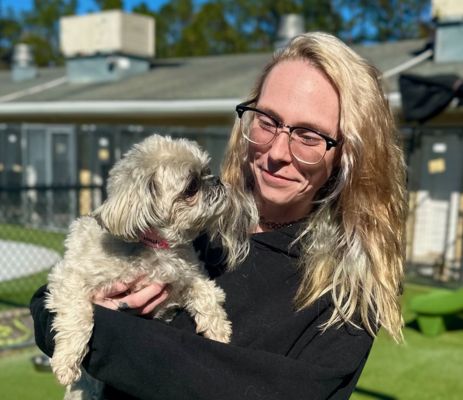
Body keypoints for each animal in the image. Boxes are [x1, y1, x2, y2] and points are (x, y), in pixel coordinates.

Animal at [47, 135, 232, 400]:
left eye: (206, 171)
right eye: (191, 186)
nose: (216, 180)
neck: (155, 245)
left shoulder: (188, 275)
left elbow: (207, 294)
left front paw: (218, 329)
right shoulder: (69, 279)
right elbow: (79, 317)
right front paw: (66, 362)